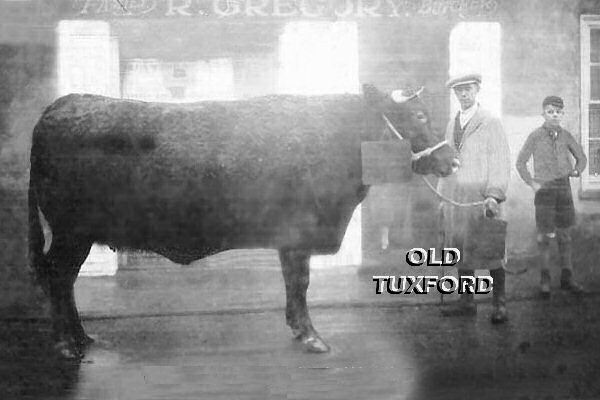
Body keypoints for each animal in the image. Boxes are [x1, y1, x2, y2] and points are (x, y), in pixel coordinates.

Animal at [28, 83, 458, 356]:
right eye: (419, 115)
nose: (452, 159)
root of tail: (60, 105)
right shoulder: (298, 237)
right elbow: (301, 284)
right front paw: (311, 337)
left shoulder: (289, 242)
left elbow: (292, 285)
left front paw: (298, 329)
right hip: (71, 233)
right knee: (59, 278)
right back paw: (66, 344)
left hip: (76, 236)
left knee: (62, 280)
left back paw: (82, 338)